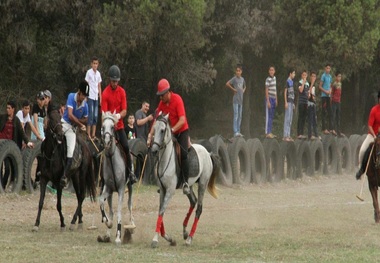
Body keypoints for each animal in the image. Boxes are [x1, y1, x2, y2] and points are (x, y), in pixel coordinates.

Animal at [97, 112, 134, 245]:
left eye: (113, 127)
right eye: (103, 126)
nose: (107, 141)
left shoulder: (122, 189)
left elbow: (119, 211)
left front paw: (118, 236)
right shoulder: (107, 188)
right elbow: (101, 202)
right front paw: (108, 222)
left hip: (130, 187)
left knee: (129, 205)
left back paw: (131, 225)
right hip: (111, 192)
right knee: (111, 210)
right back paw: (107, 235)